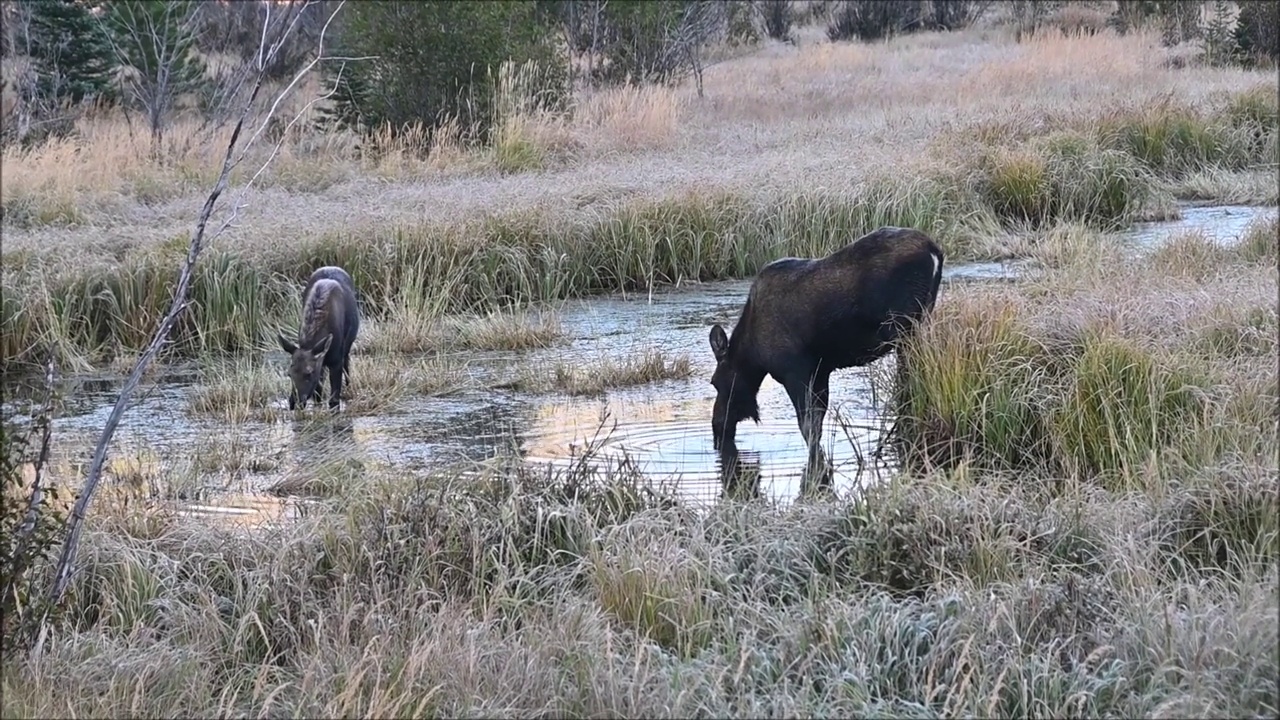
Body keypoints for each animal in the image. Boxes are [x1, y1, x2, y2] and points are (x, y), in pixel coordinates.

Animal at [279, 263, 360, 409]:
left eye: (308, 373)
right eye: (289, 374)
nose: (294, 402)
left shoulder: (336, 361)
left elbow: (334, 402)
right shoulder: (321, 361)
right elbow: (318, 396)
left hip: (348, 346)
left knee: (347, 365)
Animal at [711, 226, 942, 489]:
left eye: (715, 382)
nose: (717, 427)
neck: (753, 354)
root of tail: (935, 252)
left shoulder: (795, 371)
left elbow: (808, 427)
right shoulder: (822, 371)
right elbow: (818, 424)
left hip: (905, 330)